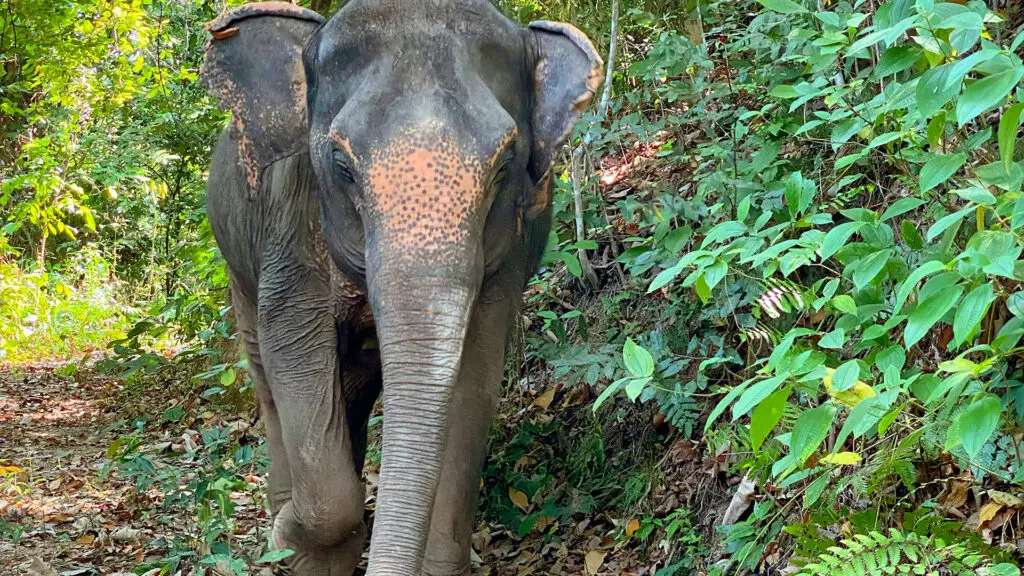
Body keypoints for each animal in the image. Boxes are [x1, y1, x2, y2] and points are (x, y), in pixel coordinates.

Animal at [199, 2, 598, 569]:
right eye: (341, 165)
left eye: (505, 165)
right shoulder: (288, 226)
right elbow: (293, 351)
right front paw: (286, 542)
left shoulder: (510, 250)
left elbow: (475, 376)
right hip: (239, 264)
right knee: (265, 373)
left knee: (355, 387)